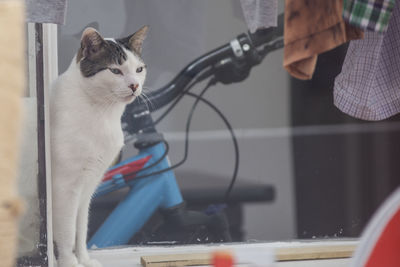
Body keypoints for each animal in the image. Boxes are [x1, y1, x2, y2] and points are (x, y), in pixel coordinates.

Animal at [50, 25, 148, 267]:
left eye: (139, 69)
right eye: (115, 71)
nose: (135, 85)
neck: (103, 114)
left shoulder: (88, 186)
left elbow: (80, 228)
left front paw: (84, 260)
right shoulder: (65, 188)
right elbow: (67, 232)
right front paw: (69, 263)